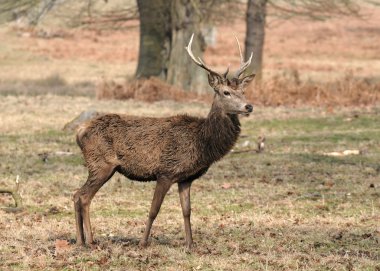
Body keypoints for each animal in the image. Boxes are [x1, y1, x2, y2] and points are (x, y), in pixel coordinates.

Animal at [72, 34, 255, 251]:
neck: (202, 142)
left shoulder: (186, 178)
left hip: (100, 166)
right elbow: (154, 209)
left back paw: (81, 240)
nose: (249, 106)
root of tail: (80, 131)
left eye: (243, 92)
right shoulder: (166, 171)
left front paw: (190, 244)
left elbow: (187, 210)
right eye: (226, 92)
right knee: (83, 196)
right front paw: (143, 243)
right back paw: (91, 241)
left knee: (76, 195)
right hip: (101, 164)